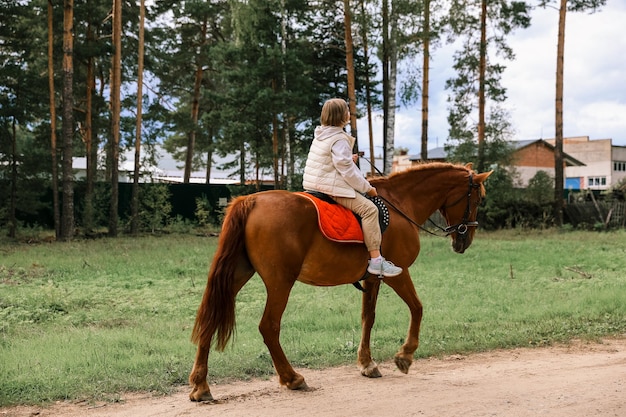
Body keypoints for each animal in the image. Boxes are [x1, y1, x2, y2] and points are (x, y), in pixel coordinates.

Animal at [188, 162, 490, 400]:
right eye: (477, 199)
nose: (464, 240)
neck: (401, 203)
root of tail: (251, 201)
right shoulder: (399, 273)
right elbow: (417, 308)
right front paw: (405, 356)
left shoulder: (373, 279)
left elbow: (368, 317)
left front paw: (367, 364)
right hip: (280, 282)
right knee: (269, 327)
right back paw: (292, 378)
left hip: (236, 275)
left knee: (210, 319)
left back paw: (201, 386)